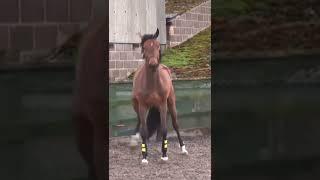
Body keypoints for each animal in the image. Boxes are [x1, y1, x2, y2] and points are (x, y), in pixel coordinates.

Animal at [131, 28, 189, 165]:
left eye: (158, 46)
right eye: (144, 47)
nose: (153, 63)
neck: (153, 83)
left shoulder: (163, 105)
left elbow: (164, 128)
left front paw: (164, 154)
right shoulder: (142, 106)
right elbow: (144, 130)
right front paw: (144, 156)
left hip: (171, 102)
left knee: (175, 124)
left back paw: (183, 148)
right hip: (136, 104)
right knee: (139, 121)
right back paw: (135, 138)